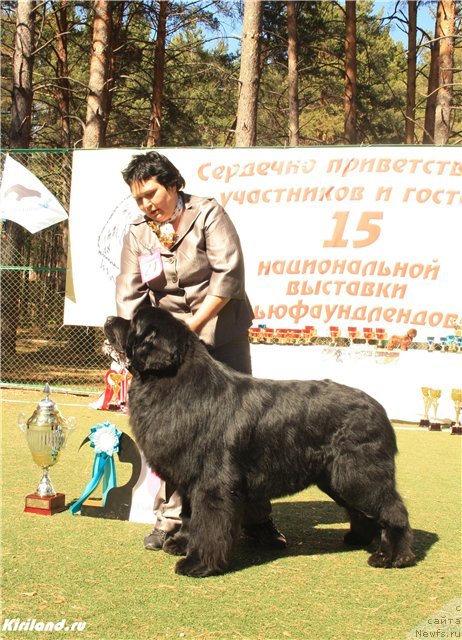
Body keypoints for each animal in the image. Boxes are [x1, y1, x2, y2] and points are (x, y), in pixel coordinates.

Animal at [104, 308, 416, 576]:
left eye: (134, 322)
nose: (108, 318)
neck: (176, 382)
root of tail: (379, 409)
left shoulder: (212, 482)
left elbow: (208, 524)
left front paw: (198, 563)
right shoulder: (191, 480)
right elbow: (191, 516)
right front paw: (181, 544)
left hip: (358, 473)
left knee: (393, 509)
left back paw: (393, 556)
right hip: (337, 478)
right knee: (363, 510)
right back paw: (358, 538)